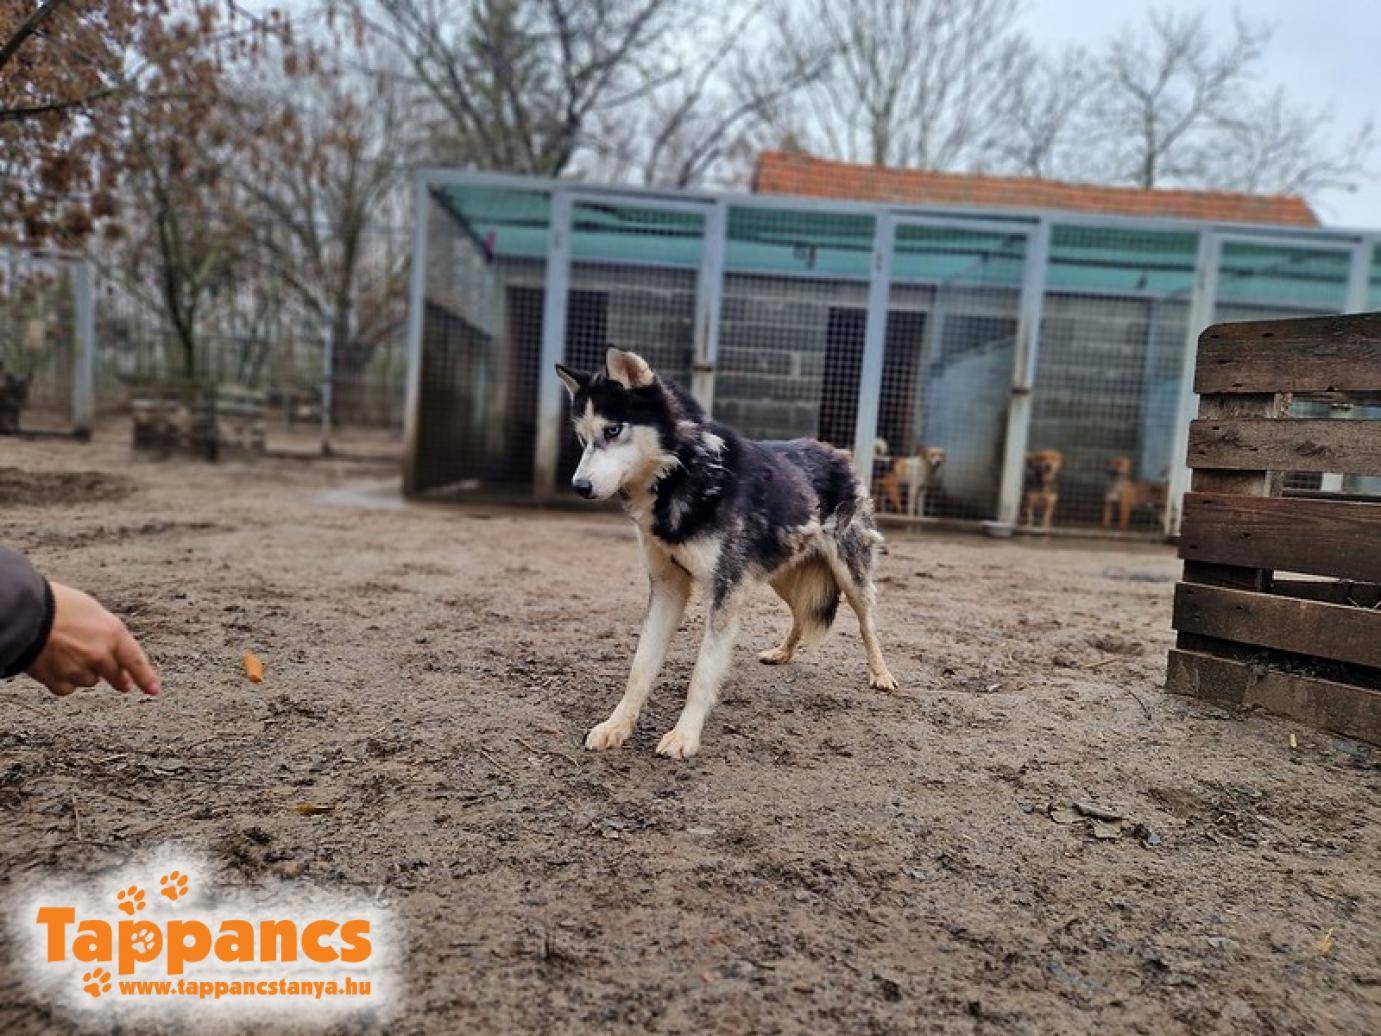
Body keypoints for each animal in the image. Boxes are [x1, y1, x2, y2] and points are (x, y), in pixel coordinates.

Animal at [556, 346, 898, 760]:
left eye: (612, 430)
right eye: (582, 438)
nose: (579, 486)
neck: (685, 473)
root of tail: (836, 450)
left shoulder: (726, 591)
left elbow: (702, 673)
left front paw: (684, 736)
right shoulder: (669, 587)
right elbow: (640, 668)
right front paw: (617, 726)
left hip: (851, 576)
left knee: (867, 623)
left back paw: (881, 674)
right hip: (781, 575)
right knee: (801, 614)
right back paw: (783, 652)